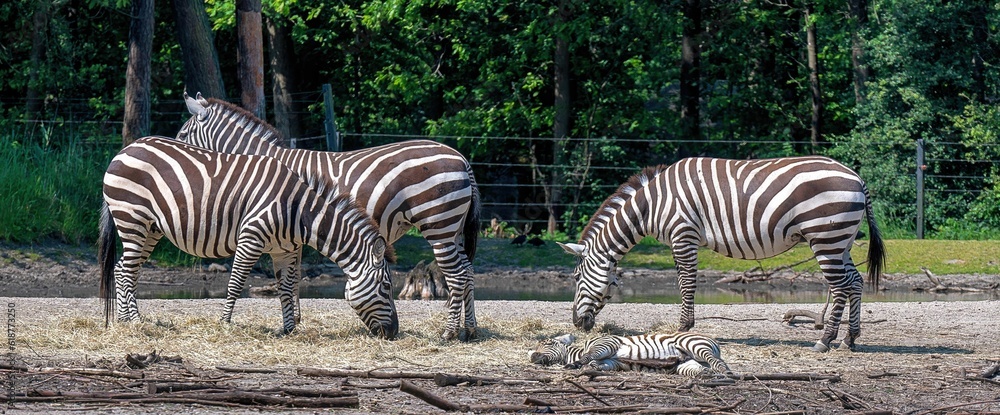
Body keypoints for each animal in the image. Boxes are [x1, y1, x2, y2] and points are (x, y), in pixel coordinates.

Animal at [98, 136, 398, 338]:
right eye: (386, 286)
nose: (394, 332)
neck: (299, 211)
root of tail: (125, 149)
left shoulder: (284, 250)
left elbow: (286, 288)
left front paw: (289, 330)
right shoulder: (251, 238)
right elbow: (235, 284)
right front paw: (224, 323)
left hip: (150, 228)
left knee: (123, 269)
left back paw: (125, 319)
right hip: (132, 218)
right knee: (126, 270)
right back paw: (133, 321)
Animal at [178, 92, 481, 341]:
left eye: (181, 136)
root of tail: (462, 159)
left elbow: (290, 276)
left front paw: (293, 319)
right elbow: (293, 276)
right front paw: (295, 318)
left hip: (439, 226)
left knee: (456, 275)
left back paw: (449, 332)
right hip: (454, 230)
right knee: (468, 271)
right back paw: (469, 330)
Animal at [558, 157, 886, 352]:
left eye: (575, 277)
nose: (576, 323)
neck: (651, 206)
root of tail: (857, 177)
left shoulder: (683, 234)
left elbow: (687, 283)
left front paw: (683, 328)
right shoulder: (680, 238)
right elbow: (684, 282)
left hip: (826, 237)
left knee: (840, 287)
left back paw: (825, 340)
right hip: (841, 240)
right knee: (855, 283)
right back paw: (850, 338)